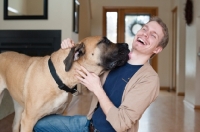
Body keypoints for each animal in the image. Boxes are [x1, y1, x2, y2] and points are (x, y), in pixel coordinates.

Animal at [0, 36, 130, 132]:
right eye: (104, 41)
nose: (127, 45)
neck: (59, 78)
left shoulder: (58, 114)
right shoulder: (28, 120)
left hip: (19, 106)